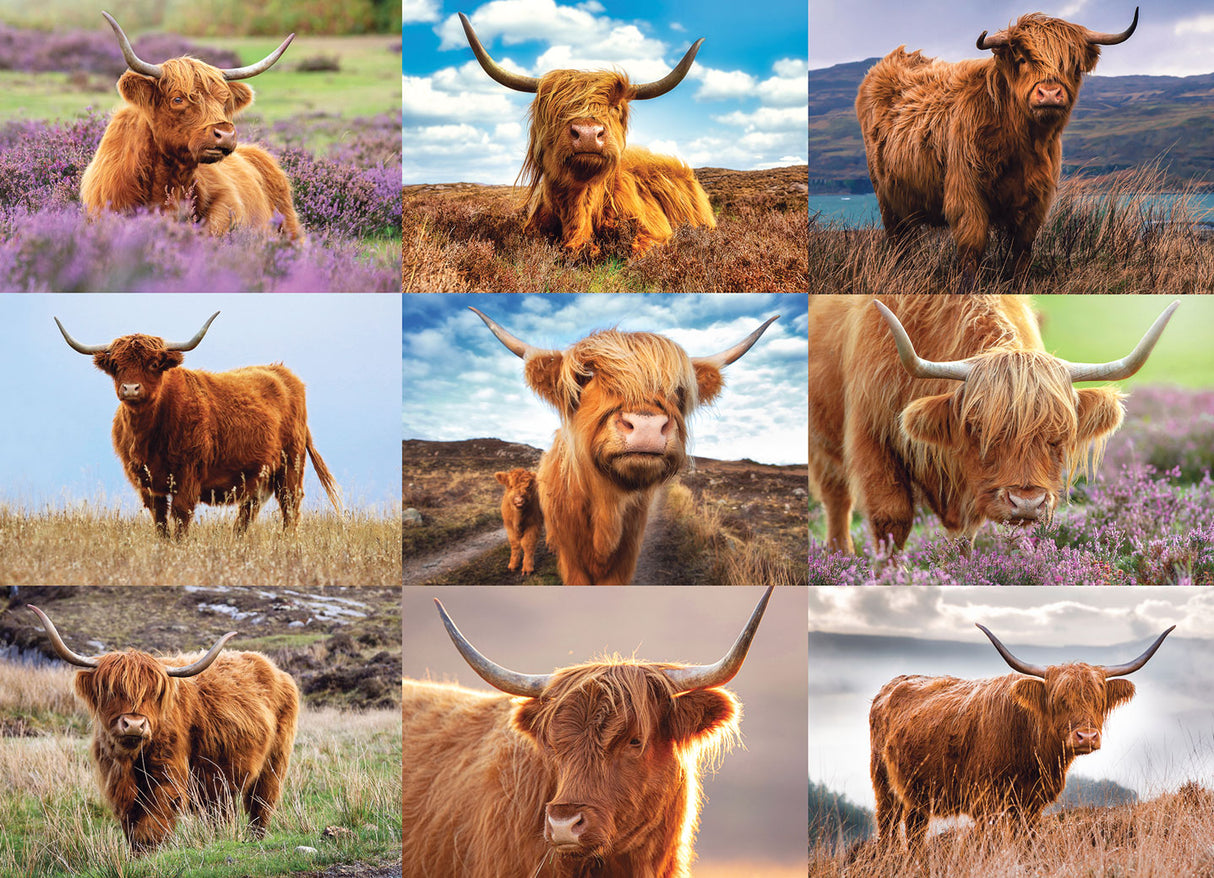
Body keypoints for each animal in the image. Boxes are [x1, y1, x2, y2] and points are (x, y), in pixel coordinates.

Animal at [27, 605, 299, 852]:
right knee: (222, 812)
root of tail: (276, 670)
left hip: (273, 764)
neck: (131, 759)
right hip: (221, 778)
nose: (134, 724)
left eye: (153, 692)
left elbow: (153, 818)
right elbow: (132, 823)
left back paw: (255, 838)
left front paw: (149, 851)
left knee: (261, 805)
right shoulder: (118, 782)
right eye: (112, 690)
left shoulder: (168, 773)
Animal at [55, 310, 342, 538]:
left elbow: (181, 515)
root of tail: (283, 373)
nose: (131, 388)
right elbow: (160, 521)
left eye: (154, 363)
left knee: (290, 505)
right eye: (116, 365)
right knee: (249, 509)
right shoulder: (148, 484)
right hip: (259, 475)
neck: (148, 434)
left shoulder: (188, 474)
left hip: (291, 463)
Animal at [808, 295, 1177, 554]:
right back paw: (840, 555)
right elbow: (891, 520)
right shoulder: (872, 438)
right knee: (837, 499)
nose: (1027, 503)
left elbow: (964, 536)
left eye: (1058, 437)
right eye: (980, 431)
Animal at [855, 9, 1138, 286]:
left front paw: (1019, 285)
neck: (1021, 143)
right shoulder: (966, 194)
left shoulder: (1036, 201)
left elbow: (1022, 250)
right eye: (1023, 59)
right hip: (886, 197)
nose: (1049, 93)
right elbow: (972, 249)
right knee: (899, 242)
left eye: (1073, 64)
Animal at [870, 623, 1174, 850]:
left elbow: (1026, 844)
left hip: (917, 795)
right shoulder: (987, 802)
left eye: (1098, 700)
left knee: (915, 831)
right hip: (884, 786)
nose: (1086, 737)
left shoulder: (1031, 805)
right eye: (1059, 700)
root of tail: (890, 685)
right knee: (888, 829)